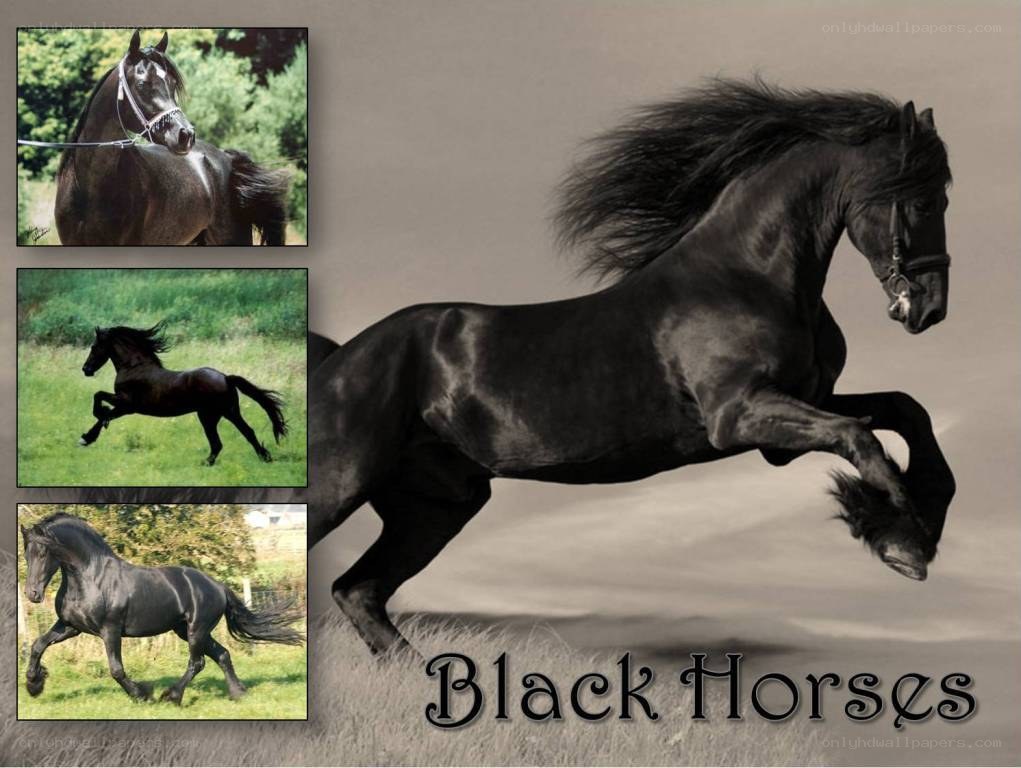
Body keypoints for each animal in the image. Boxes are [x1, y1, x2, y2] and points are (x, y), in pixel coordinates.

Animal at [20, 513, 303, 704]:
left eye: (44, 552)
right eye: (26, 553)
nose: (32, 594)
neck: (90, 577)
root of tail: (218, 586)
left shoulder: (110, 630)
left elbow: (116, 669)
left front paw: (143, 694)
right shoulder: (70, 626)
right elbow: (37, 645)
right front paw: (34, 685)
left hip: (196, 630)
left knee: (198, 662)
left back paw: (172, 696)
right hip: (186, 630)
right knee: (222, 654)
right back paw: (238, 693)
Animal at [79, 322, 288, 466]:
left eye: (94, 347)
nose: (86, 369)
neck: (134, 367)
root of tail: (226, 378)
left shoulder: (127, 404)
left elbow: (99, 400)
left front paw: (88, 433)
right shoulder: (125, 408)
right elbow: (105, 413)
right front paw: (88, 437)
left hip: (217, 414)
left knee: (237, 435)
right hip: (218, 414)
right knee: (227, 440)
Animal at [309, 79, 956, 657]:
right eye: (923, 198)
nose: (929, 308)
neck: (746, 278)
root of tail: (339, 360)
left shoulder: (793, 418)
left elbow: (904, 413)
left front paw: (908, 528)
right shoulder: (740, 415)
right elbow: (863, 438)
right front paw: (905, 541)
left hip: (437, 505)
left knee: (359, 591)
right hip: (341, 486)